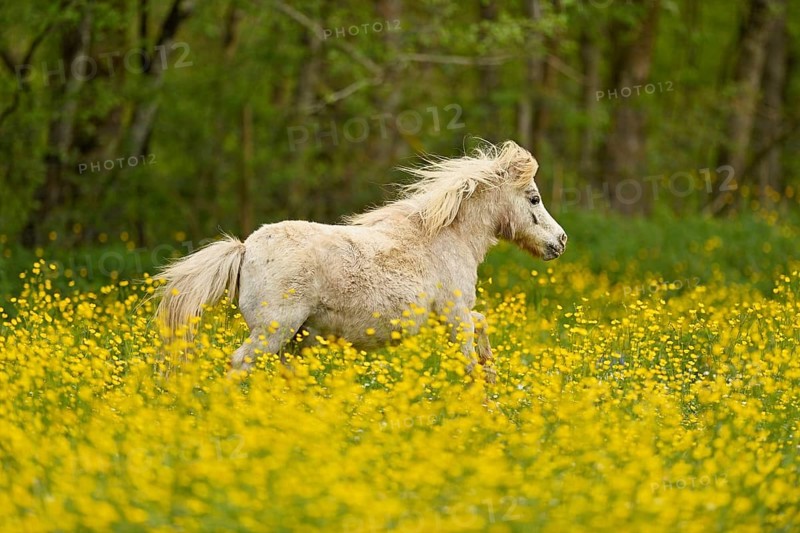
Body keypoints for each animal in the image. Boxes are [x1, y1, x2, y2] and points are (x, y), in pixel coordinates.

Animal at [154, 140, 567, 381]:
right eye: (533, 198)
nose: (560, 241)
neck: (443, 238)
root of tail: (245, 249)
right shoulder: (455, 316)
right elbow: (469, 356)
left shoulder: (456, 315)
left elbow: (482, 328)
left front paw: (491, 375)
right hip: (273, 331)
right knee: (240, 364)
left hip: (294, 339)